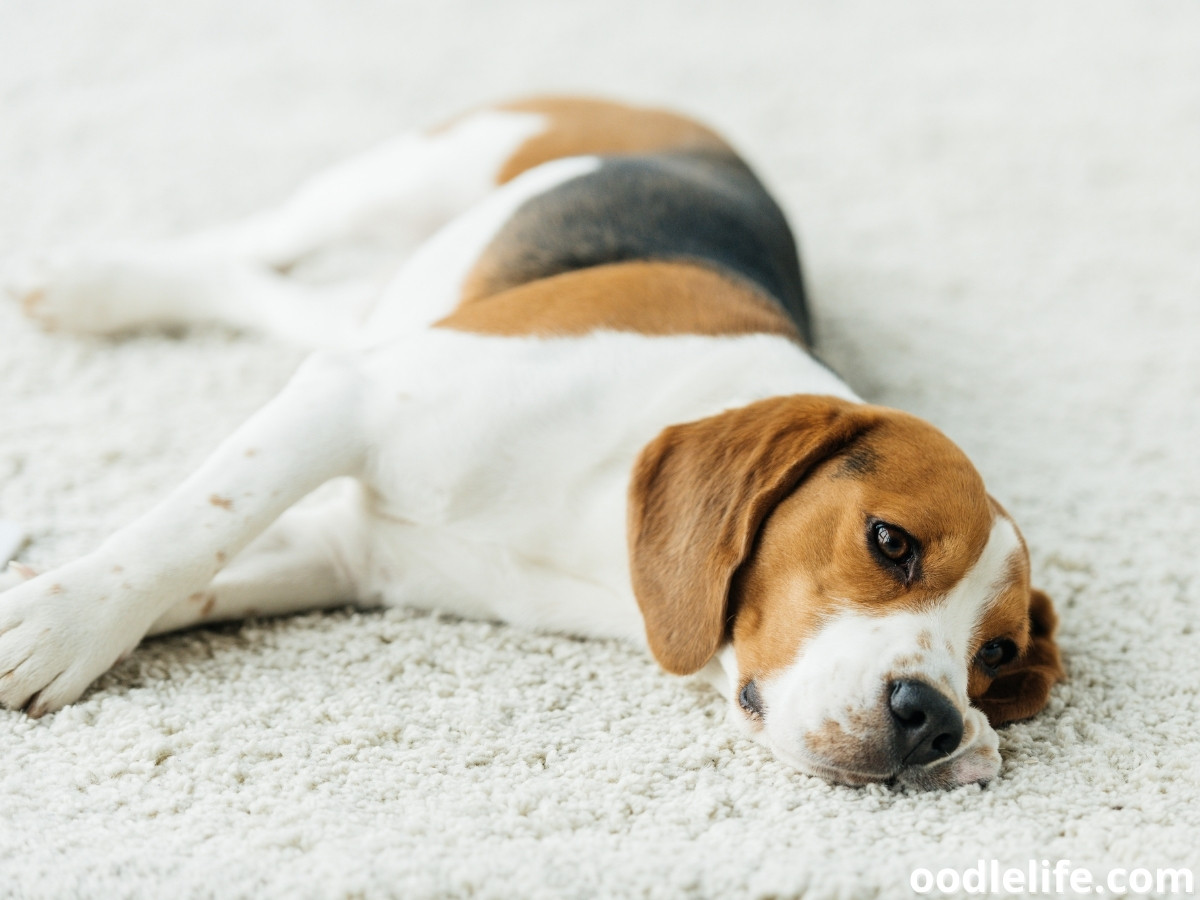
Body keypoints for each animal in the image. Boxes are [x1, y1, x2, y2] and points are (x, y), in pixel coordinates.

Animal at [0, 95, 1060, 792]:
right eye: (891, 542)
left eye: (996, 656)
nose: (934, 720)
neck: (598, 524)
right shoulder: (353, 402)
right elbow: (184, 537)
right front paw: (58, 625)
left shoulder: (350, 550)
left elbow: (203, 578)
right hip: (394, 182)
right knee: (250, 245)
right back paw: (93, 284)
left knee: (277, 291)